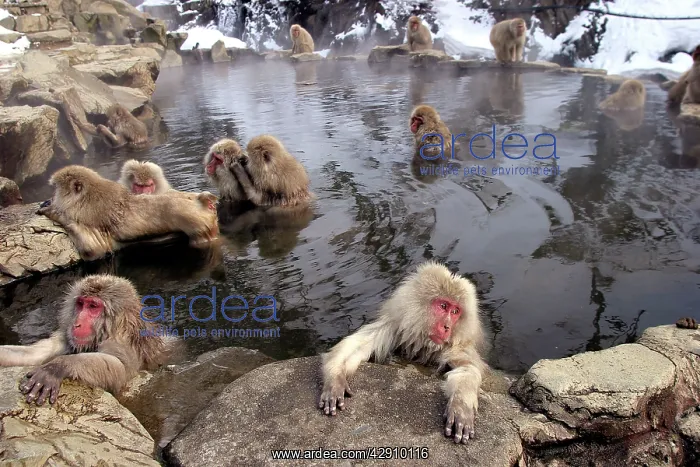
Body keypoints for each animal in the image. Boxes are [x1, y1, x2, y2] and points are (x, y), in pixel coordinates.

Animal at [0, 274, 174, 405]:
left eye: (93, 306)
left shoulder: (122, 341)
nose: (76, 323)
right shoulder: (67, 336)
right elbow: (36, 353)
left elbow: (121, 369)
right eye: (81, 303)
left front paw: (58, 366)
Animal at [37, 165, 219, 261]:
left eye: (57, 188)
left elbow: (93, 250)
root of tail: (202, 201)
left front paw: (53, 212)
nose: (52, 197)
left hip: (197, 224)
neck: (86, 196)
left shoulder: (86, 214)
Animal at [319, 261, 485, 444]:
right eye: (443, 306)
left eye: (455, 311)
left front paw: (461, 406)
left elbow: (467, 368)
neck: (423, 342)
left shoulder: (457, 347)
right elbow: (353, 346)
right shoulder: (394, 326)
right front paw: (335, 380)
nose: (447, 327)